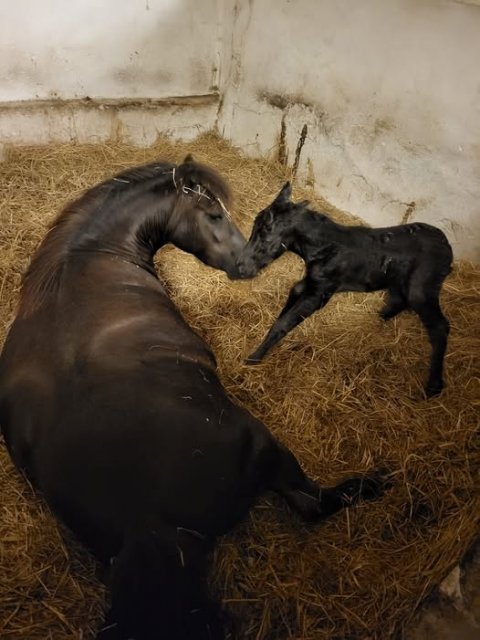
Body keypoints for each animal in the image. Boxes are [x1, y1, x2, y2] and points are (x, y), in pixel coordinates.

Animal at [0, 156, 386, 640]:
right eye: (214, 214)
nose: (247, 263)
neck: (85, 260)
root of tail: (146, 528)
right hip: (267, 446)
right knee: (313, 504)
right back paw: (375, 483)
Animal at [236, 182, 454, 398]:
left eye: (266, 236)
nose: (241, 267)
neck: (323, 248)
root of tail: (448, 248)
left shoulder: (320, 292)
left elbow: (284, 323)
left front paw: (253, 359)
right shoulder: (311, 283)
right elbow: (289, 303)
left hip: (422, 288)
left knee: (439, 325)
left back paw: (433, 387)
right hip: (401, 281)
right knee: (399, 300)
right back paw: (378, 319)